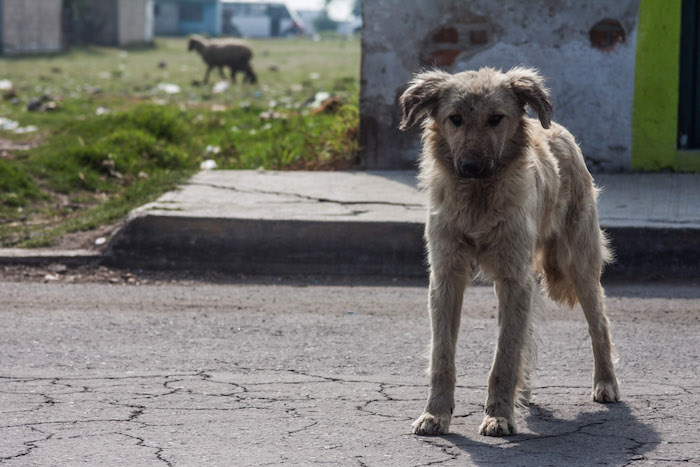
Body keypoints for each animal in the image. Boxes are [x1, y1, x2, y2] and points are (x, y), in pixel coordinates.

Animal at [396, 67, 620, 436]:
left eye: (496, 119)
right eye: (455, 119)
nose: (471, 166)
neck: (478, 200)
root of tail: (559, 131)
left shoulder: (514, 279)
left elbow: (504, 356)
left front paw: (499, 415)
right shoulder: (447, 276)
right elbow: (442, 354)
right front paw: (435, 414)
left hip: (579, 265)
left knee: (598, 324)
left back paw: (605, 383)